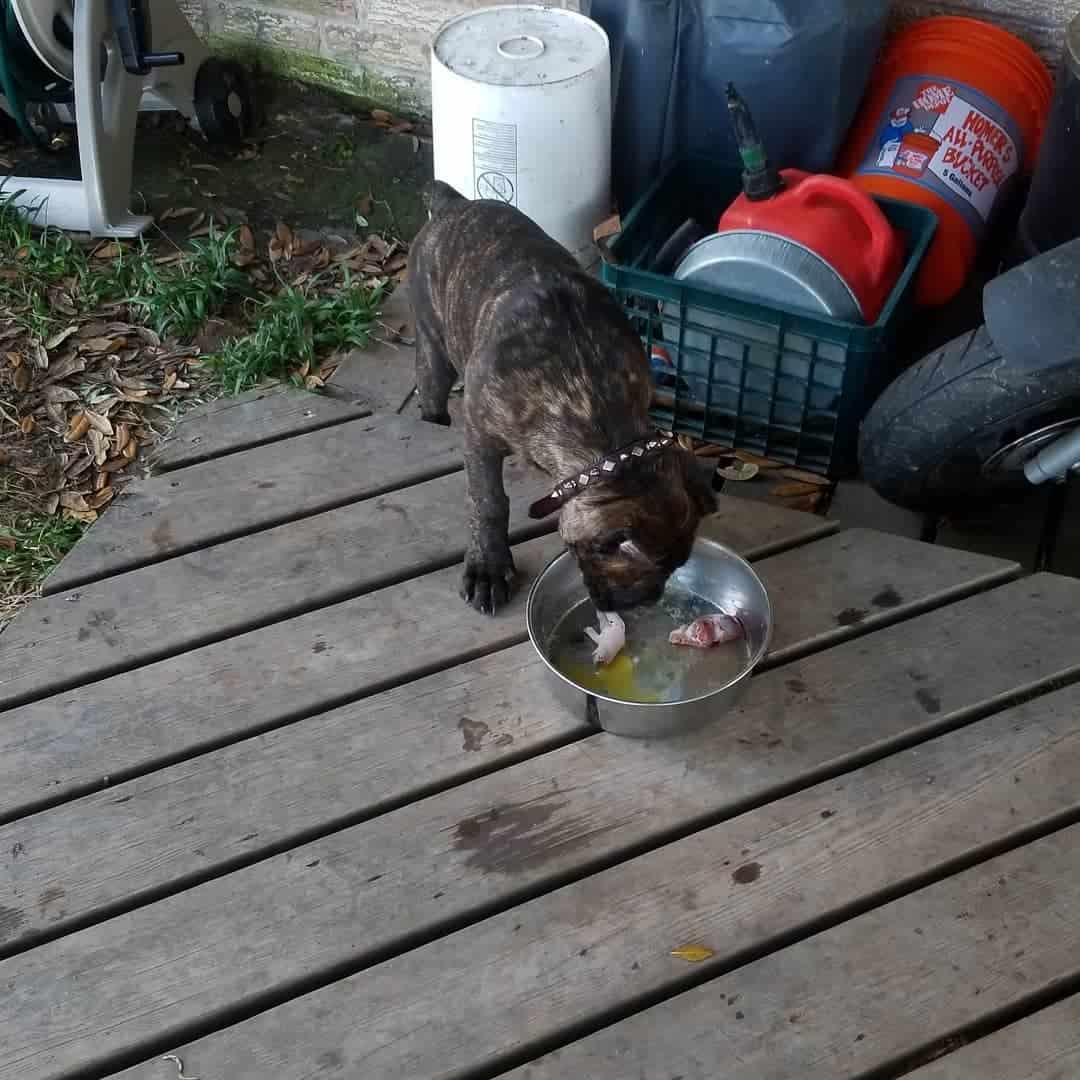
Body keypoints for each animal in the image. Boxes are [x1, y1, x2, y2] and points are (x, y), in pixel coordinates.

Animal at [406, 181, 717, 613]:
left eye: (677, 566)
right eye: (626, 569)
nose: (642, 602)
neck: (588, 397)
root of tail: (453, 203)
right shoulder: (480, 436)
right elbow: (487, 502)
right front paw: (488, 566)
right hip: (434, 352)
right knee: (432, 395)